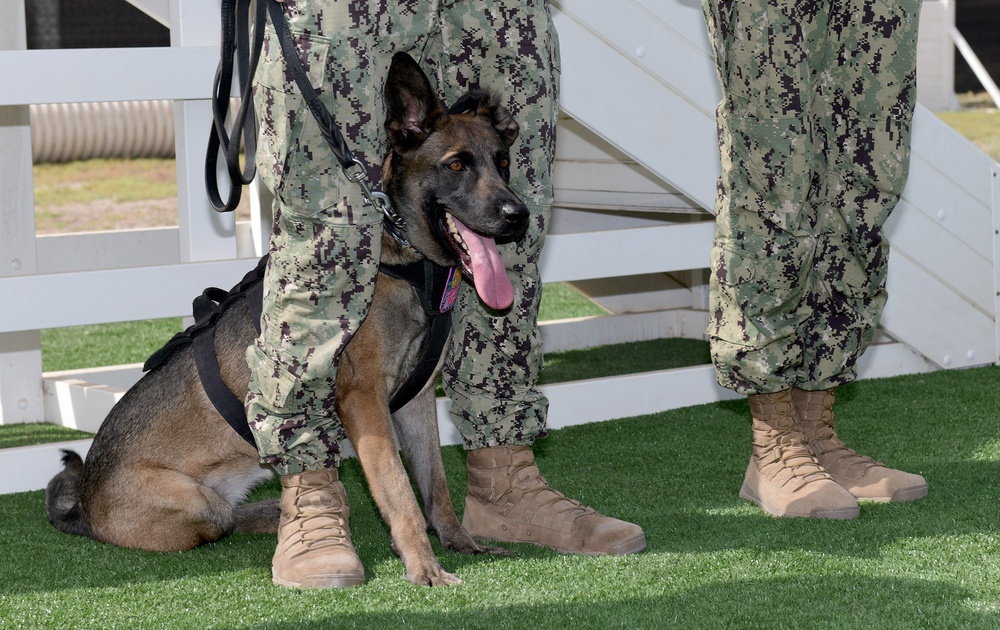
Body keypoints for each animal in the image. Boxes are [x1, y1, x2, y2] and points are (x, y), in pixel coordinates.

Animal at [46, 53, 532, 588]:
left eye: (502, 162)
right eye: (456, 165)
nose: (519, 215)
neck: (404, 260)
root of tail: (85, 501)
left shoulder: (415, 402)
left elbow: (435, 485)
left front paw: (459, 542)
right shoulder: (366, 404)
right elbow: (400, 491)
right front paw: (423, 566)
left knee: (236, 515)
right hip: (195, 504)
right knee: (222, 521)